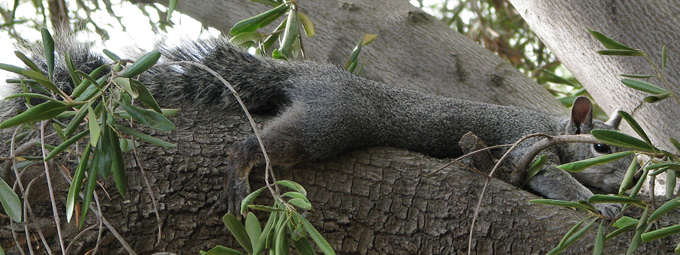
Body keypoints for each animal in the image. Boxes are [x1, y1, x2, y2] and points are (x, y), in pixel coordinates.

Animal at [0, 37, 628, 217]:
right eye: (600, 144)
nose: (623, 184)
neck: (548, 121)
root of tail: (305, 75)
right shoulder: (527, 146)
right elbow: (551, 178)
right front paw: (599, 204)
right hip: (328, 124)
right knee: (252, 145)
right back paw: (239, 172)